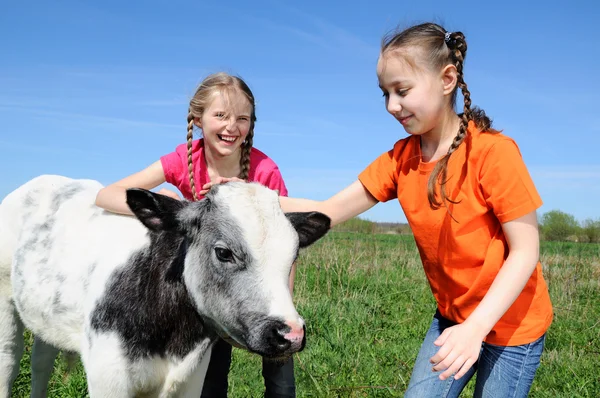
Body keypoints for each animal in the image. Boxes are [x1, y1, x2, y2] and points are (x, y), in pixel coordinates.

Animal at [0, 176, 328, 396]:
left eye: (294, 254)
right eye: (224, 252)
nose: (291, 333)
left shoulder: (191, 379)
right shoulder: (108, 376)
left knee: (41, 361)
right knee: (9, 361)